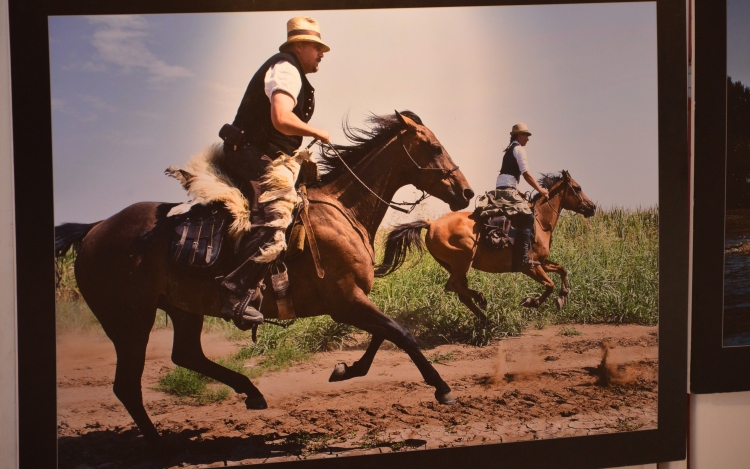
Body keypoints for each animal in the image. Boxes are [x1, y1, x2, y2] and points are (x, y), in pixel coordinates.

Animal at [54, 111, 476, 448]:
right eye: (433, 147)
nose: (466, 192)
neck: (342, 210)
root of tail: (94, 229)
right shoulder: (345, 300)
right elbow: (400, 333)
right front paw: (442, 389)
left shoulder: (352, 301)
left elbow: (383, 335)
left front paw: (347, 370)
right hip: (130, 320)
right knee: (128, 384)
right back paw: (161, 445)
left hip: (181, 309)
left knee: (186, 355)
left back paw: (251, 393)